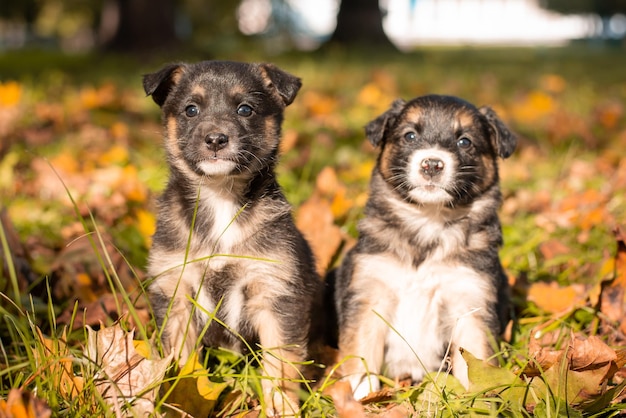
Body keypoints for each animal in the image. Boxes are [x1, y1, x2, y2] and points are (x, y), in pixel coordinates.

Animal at [142, 61, 322, 414]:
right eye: (191, 109)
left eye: (245, 109)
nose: (215, 139)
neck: (221, 198)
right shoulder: (176, 291)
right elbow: (181, 362)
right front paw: (178, 402)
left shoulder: (275, 293)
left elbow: (280, 365)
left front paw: (281, 408)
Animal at [334, 94, 516, 398]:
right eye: (410, 135)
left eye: (464, 141)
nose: (432, 164)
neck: (429, 221)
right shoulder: (369, 292)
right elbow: (360, 349)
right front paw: (358, 393)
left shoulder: (471, 301)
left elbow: (474, 358)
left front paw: (476, 399)